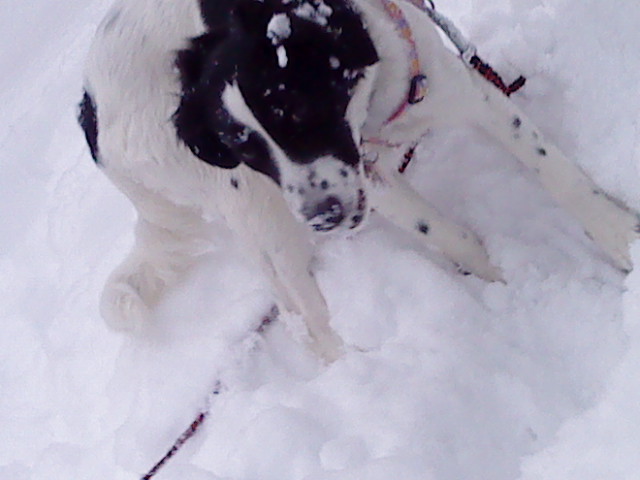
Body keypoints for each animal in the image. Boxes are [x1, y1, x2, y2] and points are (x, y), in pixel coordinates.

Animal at [79, 0, 640, 362]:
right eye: (246, 148)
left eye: (297, 112)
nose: (325, 218)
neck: (371, 107)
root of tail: (90, 109)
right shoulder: (364, 178)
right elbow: (447, 233)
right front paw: (505, 282)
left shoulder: (459, 92)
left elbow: (554, 172)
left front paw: (617, 240)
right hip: (257, 207)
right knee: (305, 313)